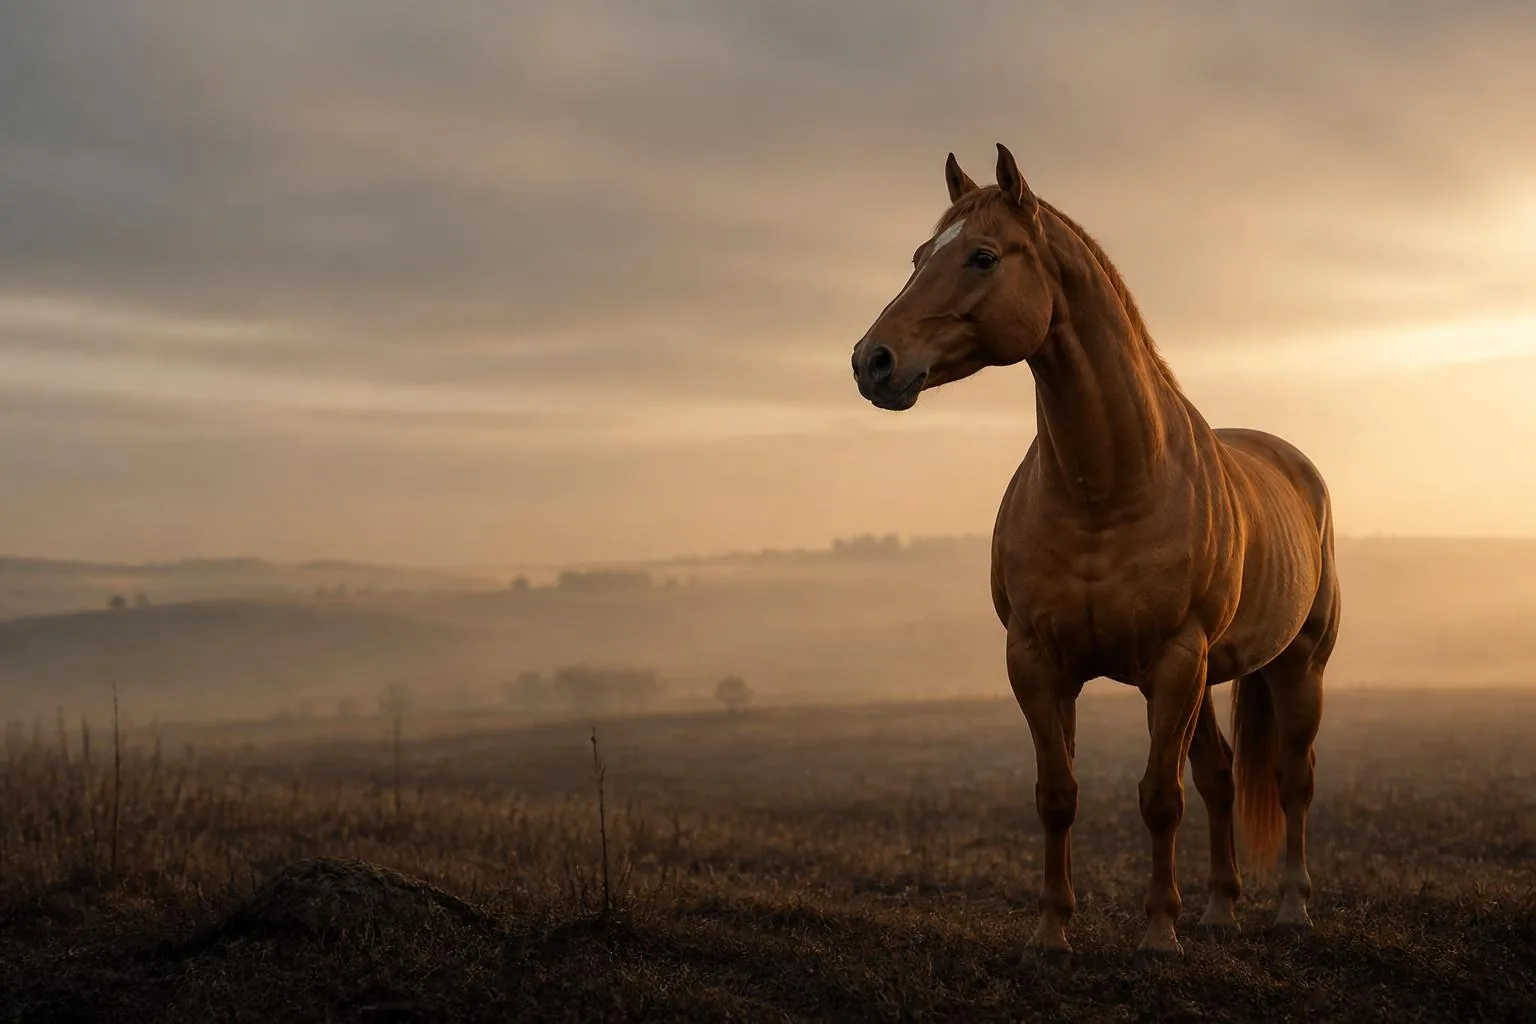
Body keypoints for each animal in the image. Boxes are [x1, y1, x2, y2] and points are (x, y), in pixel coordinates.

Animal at [850, 144, 1341, 967]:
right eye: (920, 256)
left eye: (983, 256)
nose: (872, 361)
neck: (1105, 488)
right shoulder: (1037, 661)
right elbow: (1059, 796)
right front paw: (1051, 930)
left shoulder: (1173, 662)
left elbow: (1159, 798)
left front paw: (1159, 934)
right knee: (1221, 777)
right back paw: (1219, 908)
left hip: (1297, 664)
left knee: (1293, 778)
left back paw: (1292, 910)